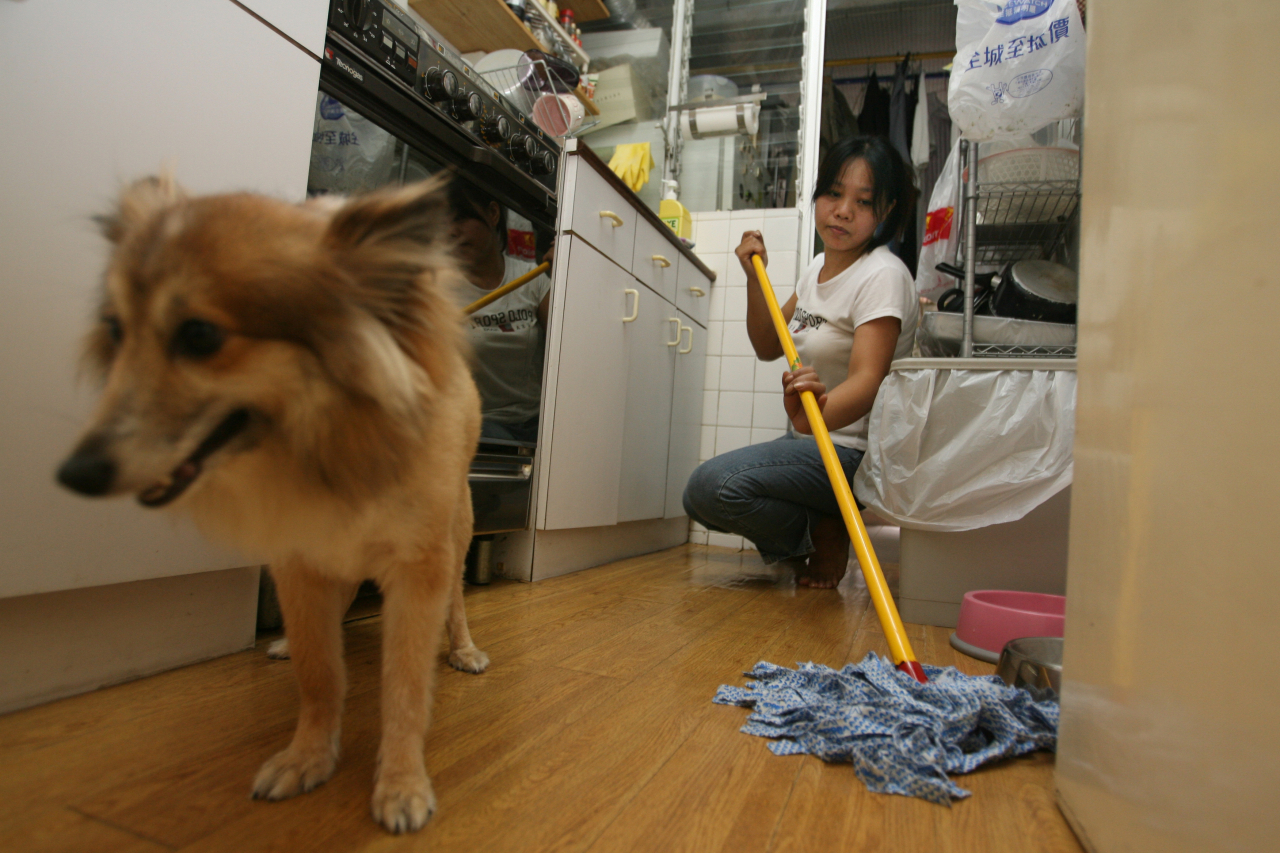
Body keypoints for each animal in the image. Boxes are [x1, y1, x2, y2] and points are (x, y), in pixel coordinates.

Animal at [55, 174, 486, 829]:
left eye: (200, 336)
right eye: (116, 331)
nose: (74, 473)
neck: (326, 448)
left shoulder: (419, 573)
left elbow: (406, 690)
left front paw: (401, 782)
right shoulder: (299, 564)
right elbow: (320, 672)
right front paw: (308, 755)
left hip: (456, 537)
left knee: (458, 604)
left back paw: (463, 650)